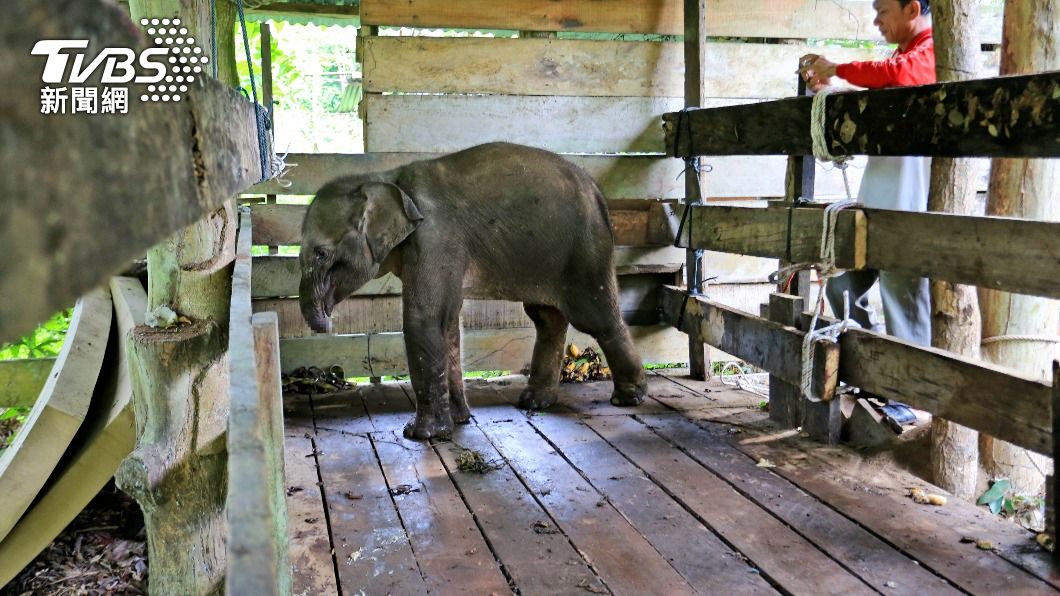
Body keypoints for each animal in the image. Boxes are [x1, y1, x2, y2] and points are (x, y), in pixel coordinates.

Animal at [299, 142, 648, 440]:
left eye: (321, 253)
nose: (328, 322)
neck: (388, 179)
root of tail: (598, 192)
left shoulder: (435, 239)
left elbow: (424, 319)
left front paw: (421, 434)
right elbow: (448, 322)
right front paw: (459, 420)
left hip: (586, 249)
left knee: (595, 317)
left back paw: (628, 398)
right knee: (547, 318)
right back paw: (536, 401)